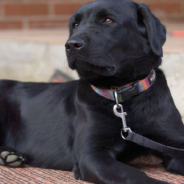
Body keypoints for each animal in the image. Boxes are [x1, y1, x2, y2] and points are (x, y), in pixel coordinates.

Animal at [0, 0, 184, 183]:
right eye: (75, 25)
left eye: (108, 20)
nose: (71, 45)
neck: (121, 96)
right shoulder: (92, 155)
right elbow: (135, 175)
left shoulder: (174, 143)